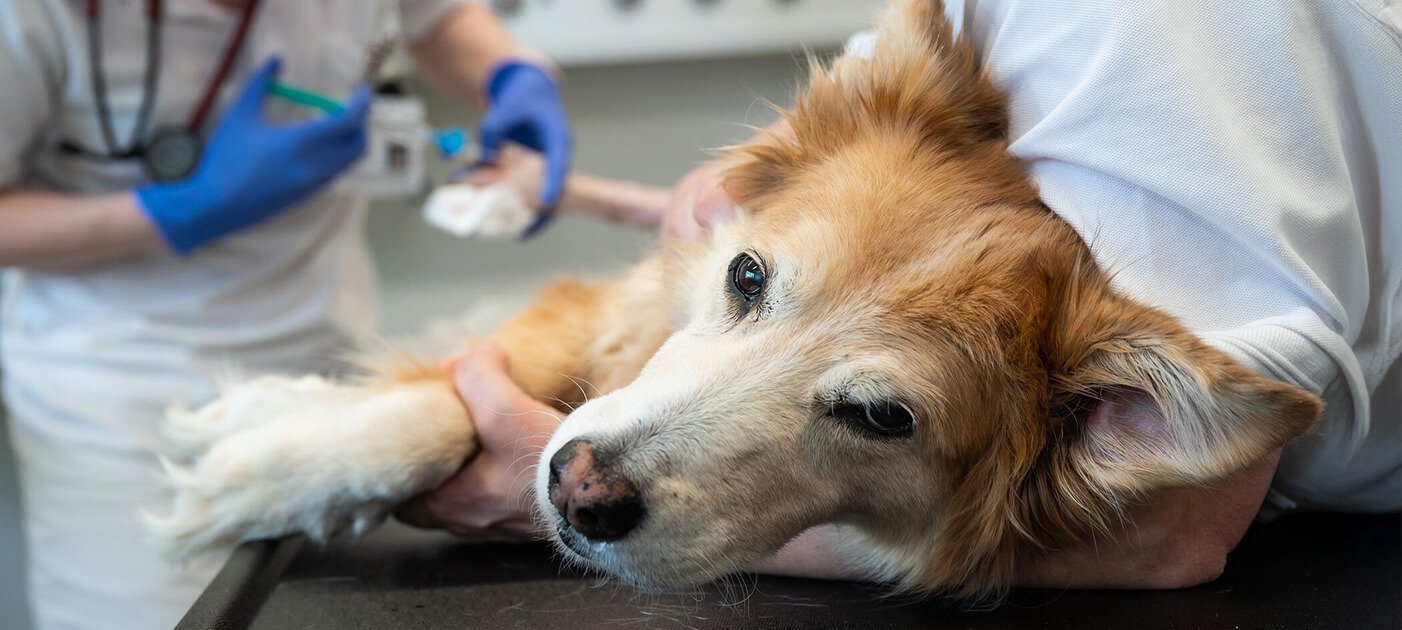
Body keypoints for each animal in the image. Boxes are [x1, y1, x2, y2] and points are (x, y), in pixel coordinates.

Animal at [150, 0, 1312, 597]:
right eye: (746, 278)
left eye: (880, 417)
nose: (577, 491)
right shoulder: (621, 303)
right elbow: (443, 399)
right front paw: (267, 458)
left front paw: (257, 464)